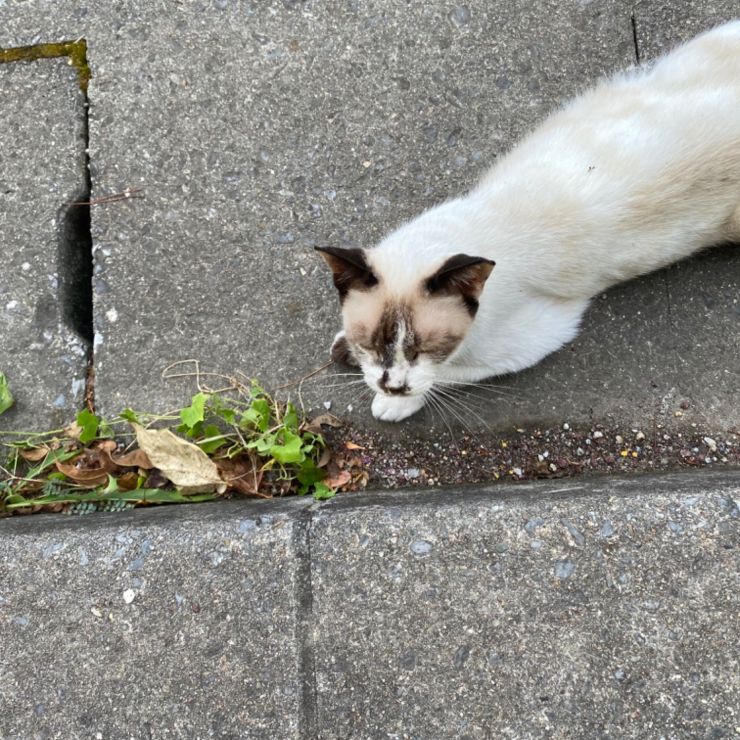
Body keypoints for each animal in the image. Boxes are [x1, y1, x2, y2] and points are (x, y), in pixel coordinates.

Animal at [316, 20, 740, 422]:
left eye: (427, 348)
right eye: (372, 343)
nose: (394, 385)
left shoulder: (535, 338)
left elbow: (445, 375)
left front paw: (393, 401)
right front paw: (347, 352)